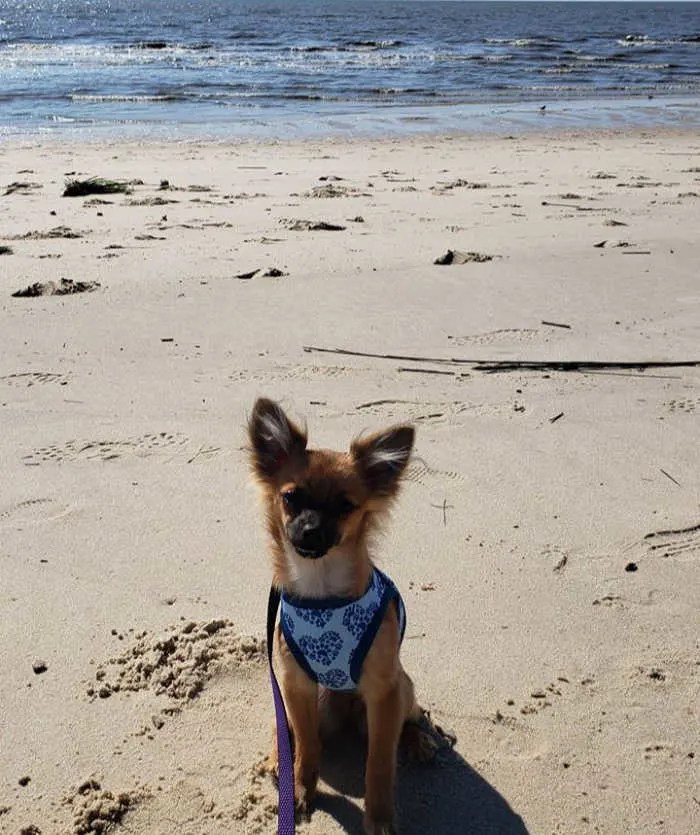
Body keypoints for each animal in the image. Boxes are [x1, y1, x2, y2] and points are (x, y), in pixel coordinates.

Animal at [246, 398, 432, 835]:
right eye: (291, 498)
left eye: (346, 506)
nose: (311, 531)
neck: (321, 586)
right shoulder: (295, 685)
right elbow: (308, 746)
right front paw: (298, 787)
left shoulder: (384, 692)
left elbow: (379, 763)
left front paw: (379, 818)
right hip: (313, 700)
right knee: (290, 730)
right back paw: (279, 757)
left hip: (403, 688)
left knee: (412, 718)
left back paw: (417, 739)